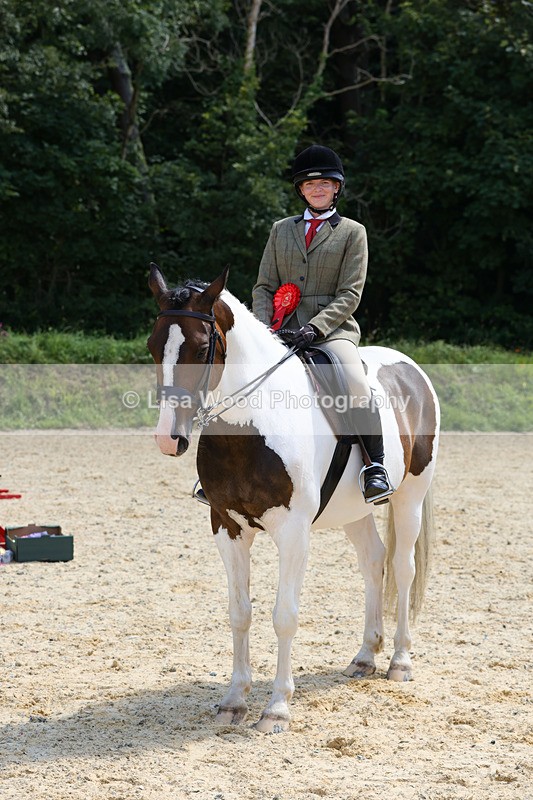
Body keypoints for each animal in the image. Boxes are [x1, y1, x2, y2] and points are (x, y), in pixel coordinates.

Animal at [147, 263, 440, 733]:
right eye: (154, 345)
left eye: (201, 347)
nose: (167, 438)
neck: (253, 425)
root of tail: (411, 368)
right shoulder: (225, 525)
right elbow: (240, 612)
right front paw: (234, 701)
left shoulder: (293, 532)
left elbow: (284, 616)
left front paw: (277, 708)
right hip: (352, 510)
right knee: (373, 561)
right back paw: (365, 657)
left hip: (410, 498)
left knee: (402, 567)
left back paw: (399, 661)